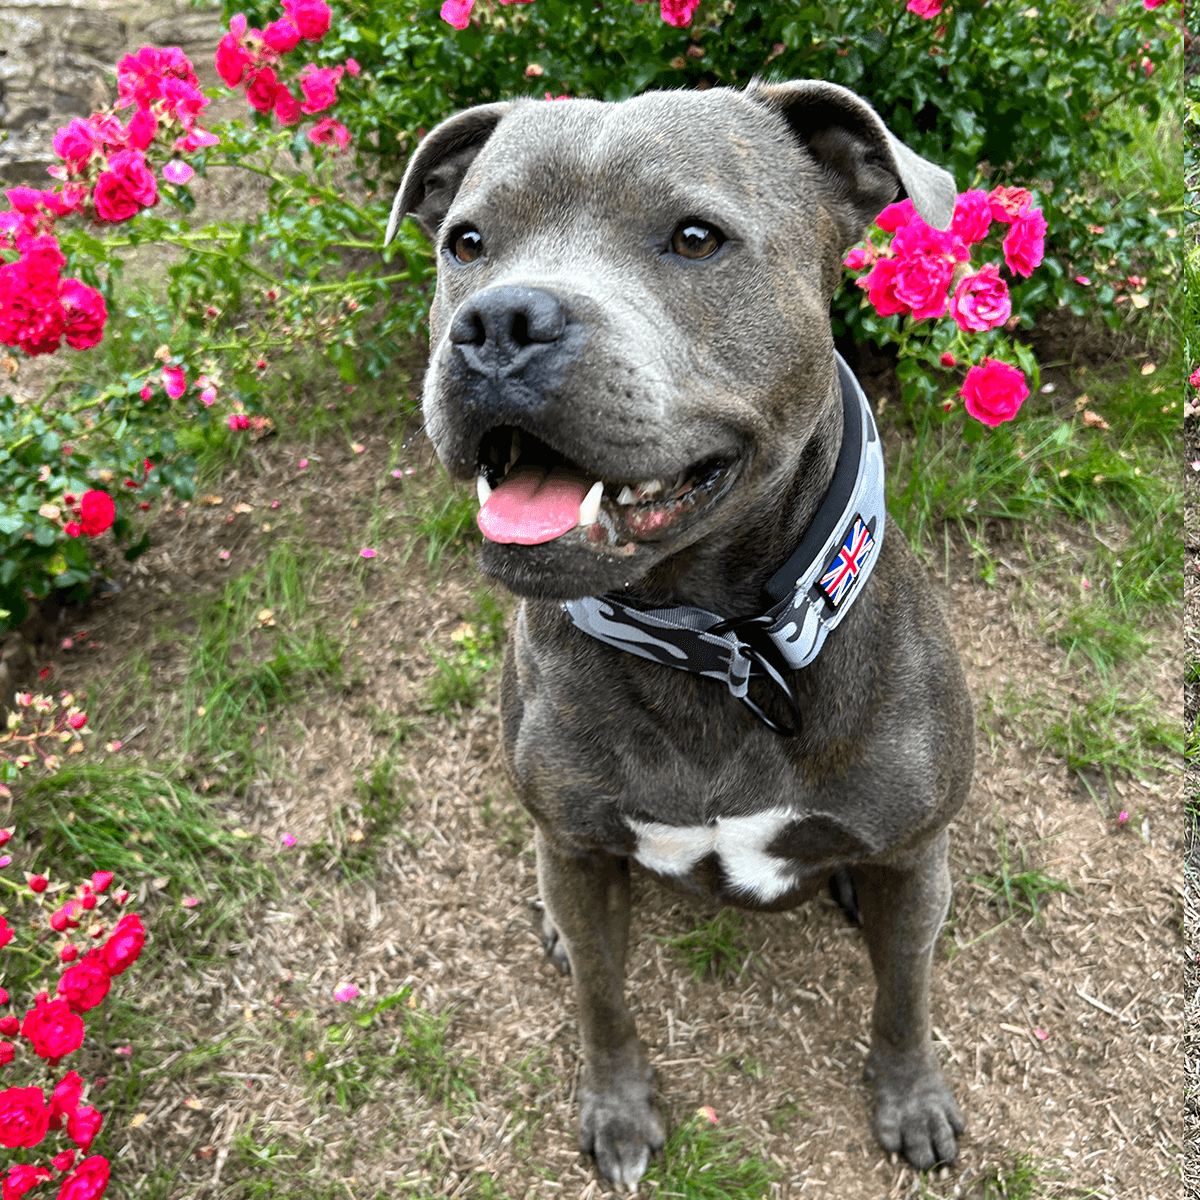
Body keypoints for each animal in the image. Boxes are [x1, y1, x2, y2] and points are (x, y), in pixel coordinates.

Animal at [386, 79, 974, 1185]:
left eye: (696, 238)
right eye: (466, 241)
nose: (499, 321)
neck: (713, 647)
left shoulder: (918, 858)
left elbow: (906, 994)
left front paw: (910, 1098)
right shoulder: (578, 848)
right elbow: (602, 999)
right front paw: (618, 1109)